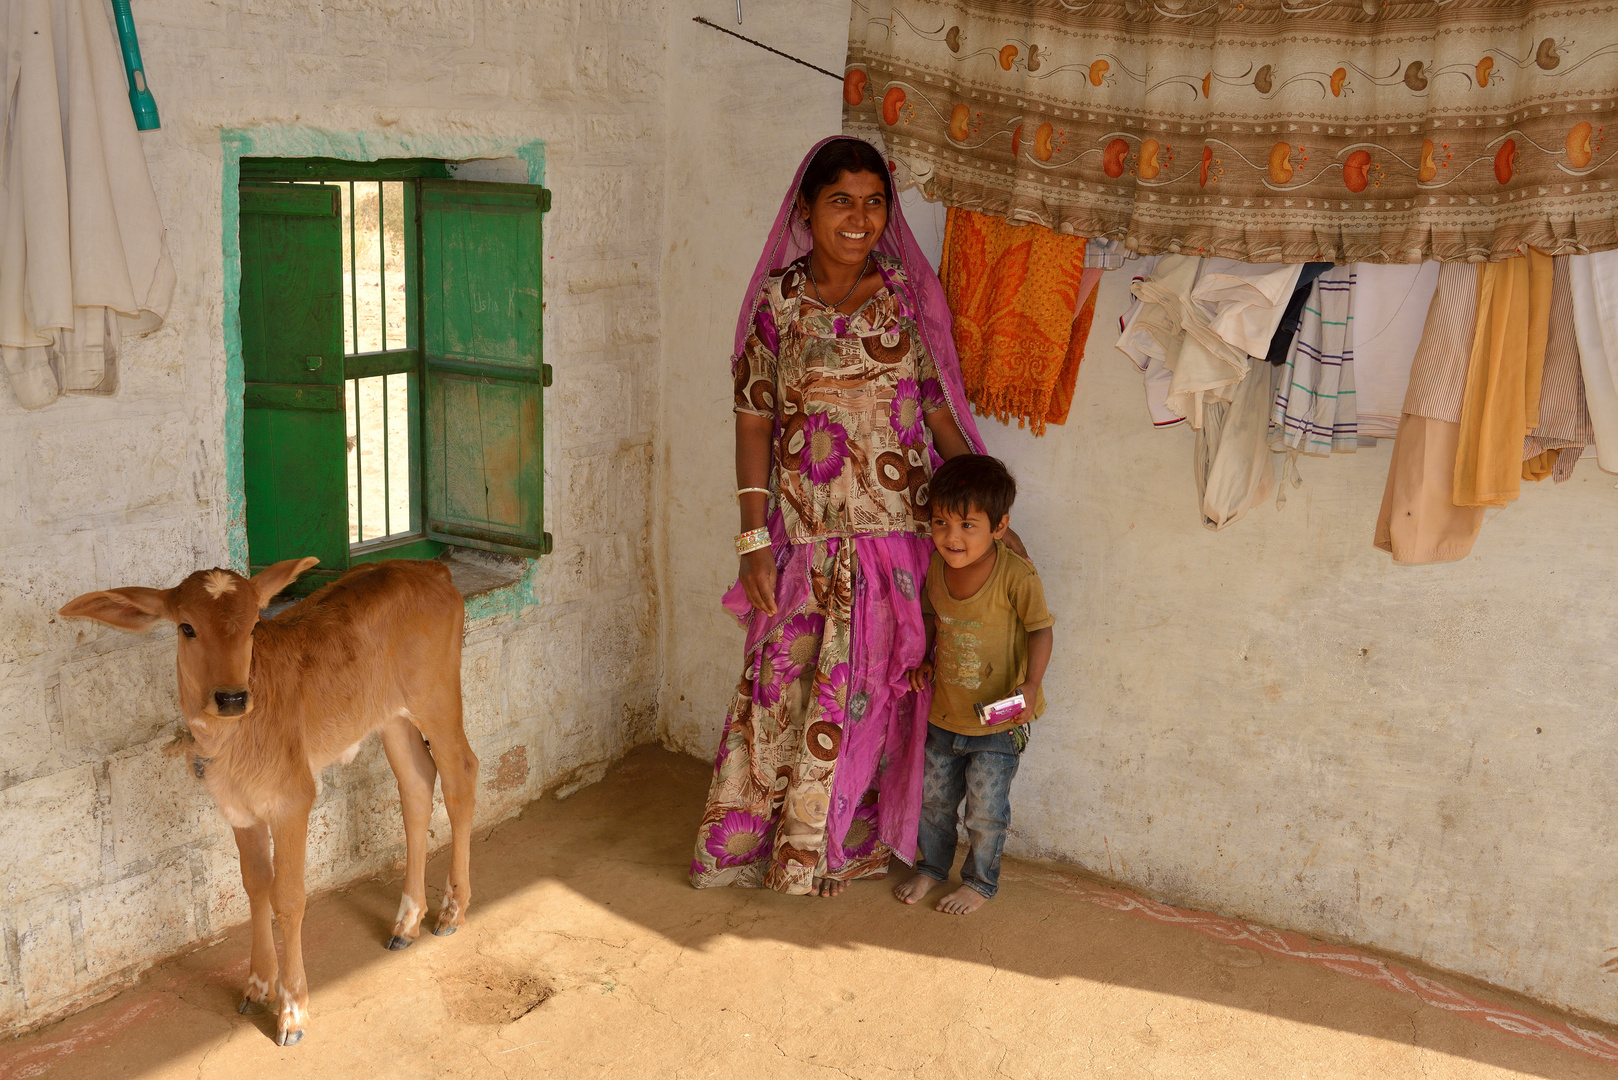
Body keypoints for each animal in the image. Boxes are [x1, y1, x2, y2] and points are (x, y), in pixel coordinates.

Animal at [63, 563, 478, 1042]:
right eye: (187, 627)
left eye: (253, 627)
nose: (231, 697)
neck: (231, 741)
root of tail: (430, 568)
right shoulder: (239, 810)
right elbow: (255, 884)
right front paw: (258, 984)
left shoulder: (293, 800)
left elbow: (289, 898)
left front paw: (293, 1010)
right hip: (392, 717)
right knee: (416, 784)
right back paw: (407, 922)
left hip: (438, 698)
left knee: (461, 775)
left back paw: (451, 911)